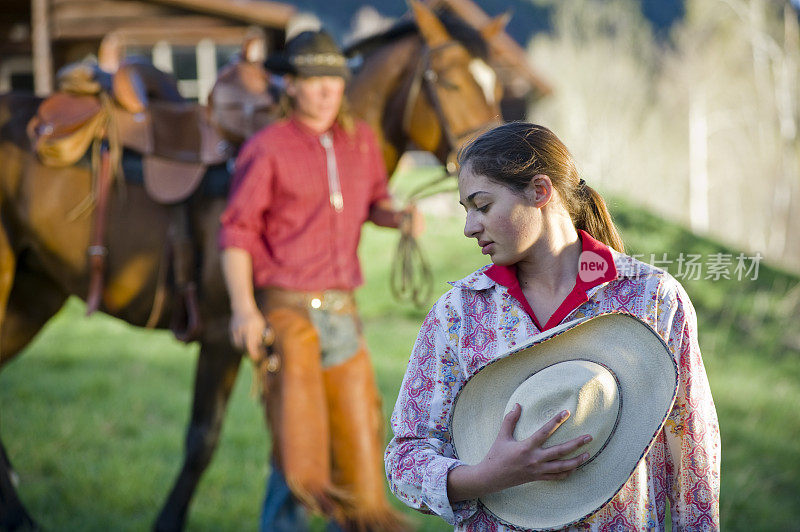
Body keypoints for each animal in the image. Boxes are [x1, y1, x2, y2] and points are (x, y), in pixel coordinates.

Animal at [0, 2, 504, 528]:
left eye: (495, 83)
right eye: (448, 81)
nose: (487, 155)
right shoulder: (223, 333)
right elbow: (203, 439)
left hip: (33, 295)